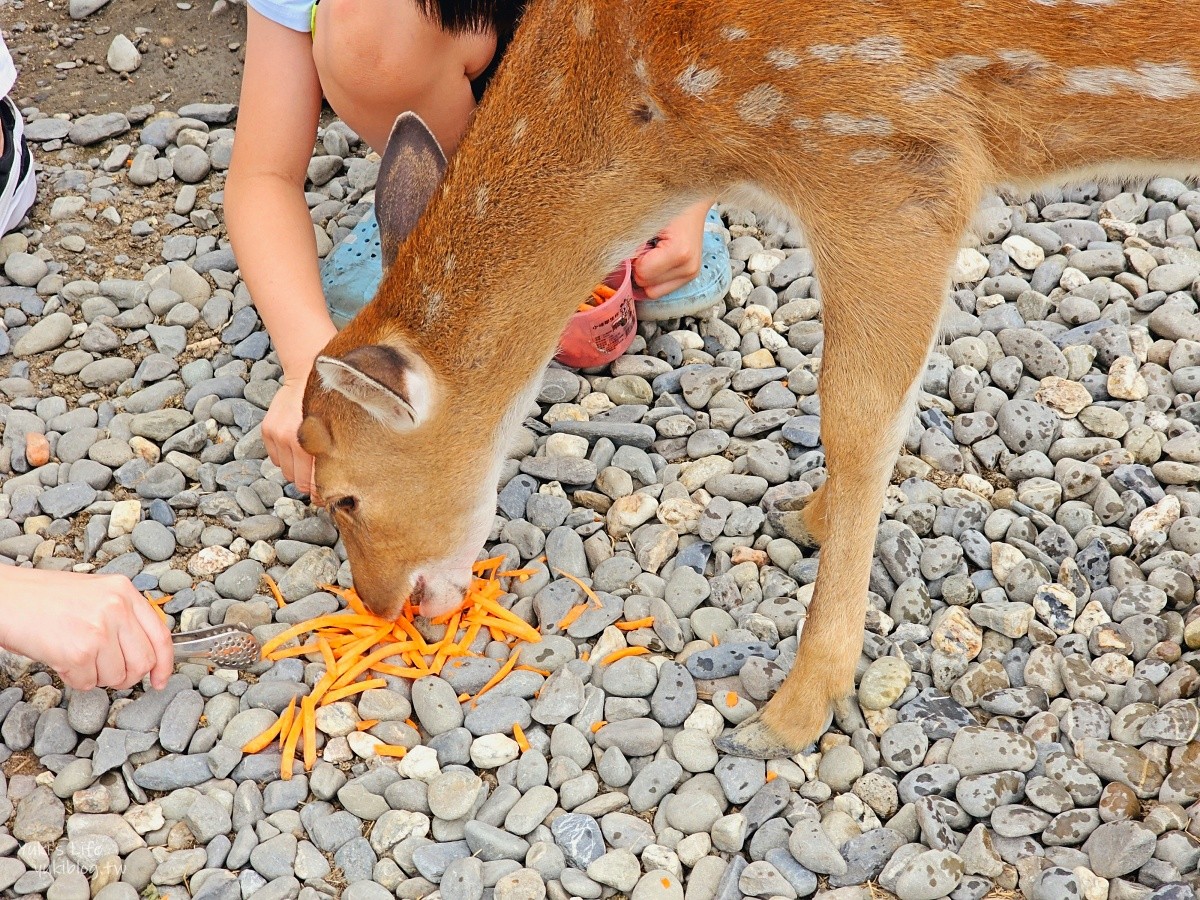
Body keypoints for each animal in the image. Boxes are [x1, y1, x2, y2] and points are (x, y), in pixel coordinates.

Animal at [295, 0, 1200, 763]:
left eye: (341, 495)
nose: (381, 605)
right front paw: (808, 516)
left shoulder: (893, 156)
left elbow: (858, 414)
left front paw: (796, 709)